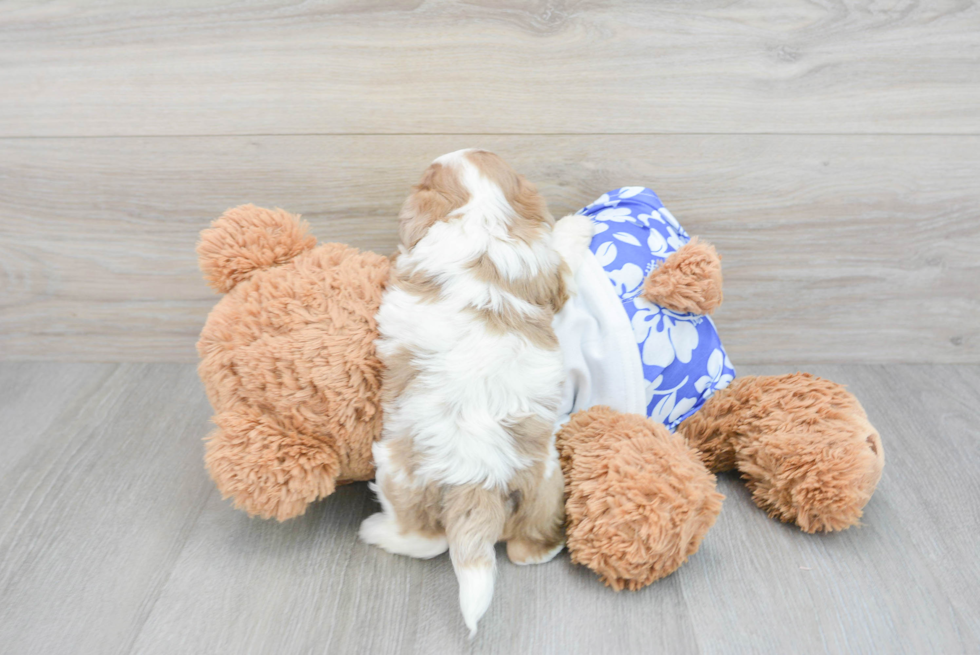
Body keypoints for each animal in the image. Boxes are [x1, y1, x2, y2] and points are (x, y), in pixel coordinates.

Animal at [358, 151, 588, 640]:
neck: (481, 216)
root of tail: (476, 478)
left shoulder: (550, 272)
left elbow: (563, 246)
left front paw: (579, 225)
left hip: (395, 474)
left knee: (426, 540)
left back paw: (375, 530)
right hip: (547, 482)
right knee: (524, 549)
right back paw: (545, 548)